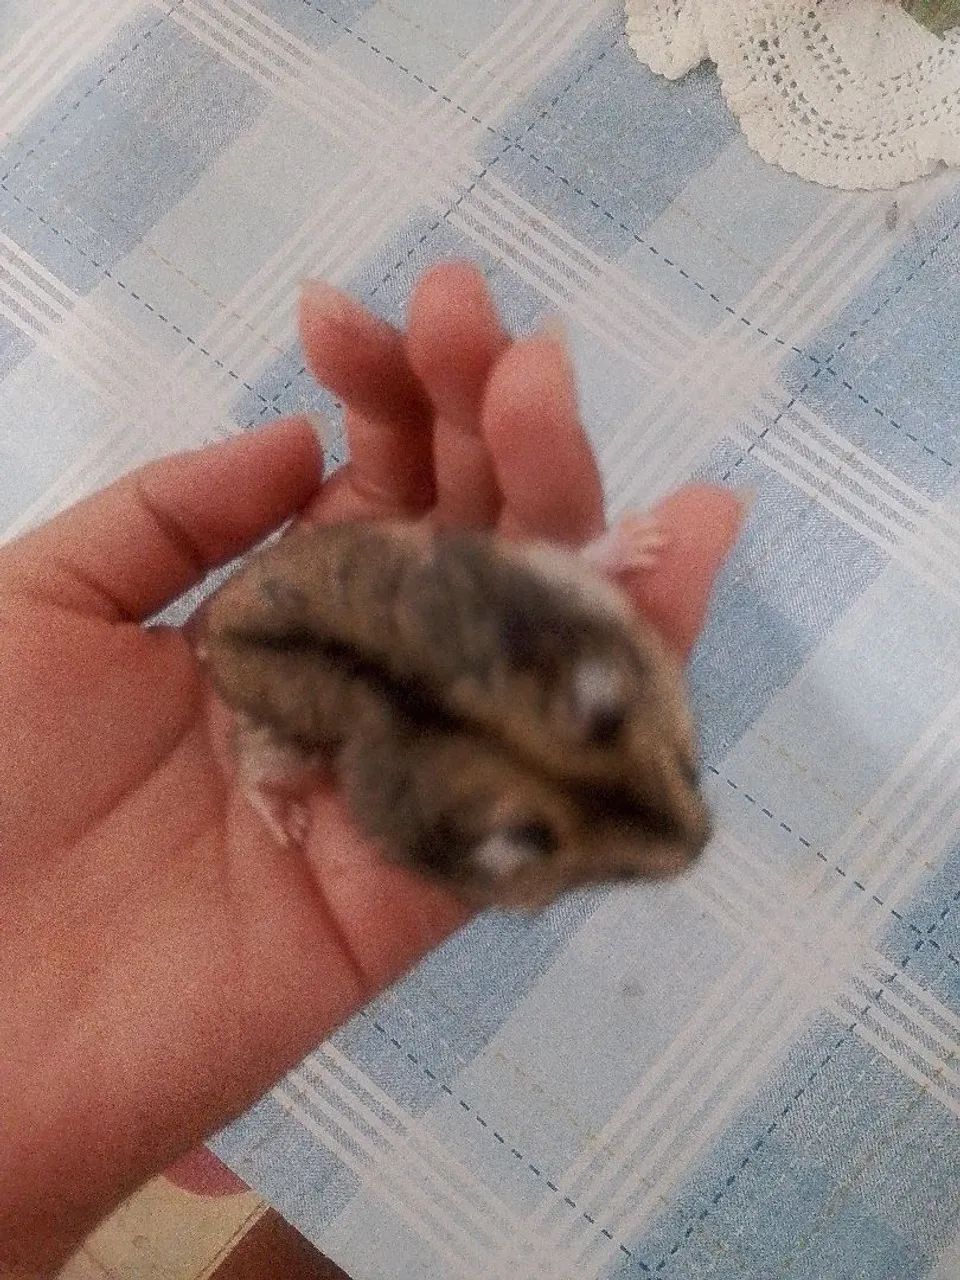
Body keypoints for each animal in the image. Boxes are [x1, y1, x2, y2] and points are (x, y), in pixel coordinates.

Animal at [197, 515, 711, 910]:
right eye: (625, 876)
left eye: (689, 772)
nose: (702, 844)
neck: (492, 728)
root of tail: (213, 636)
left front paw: (649, 538)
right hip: (290, 743)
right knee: (248, 766)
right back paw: (288, 825)